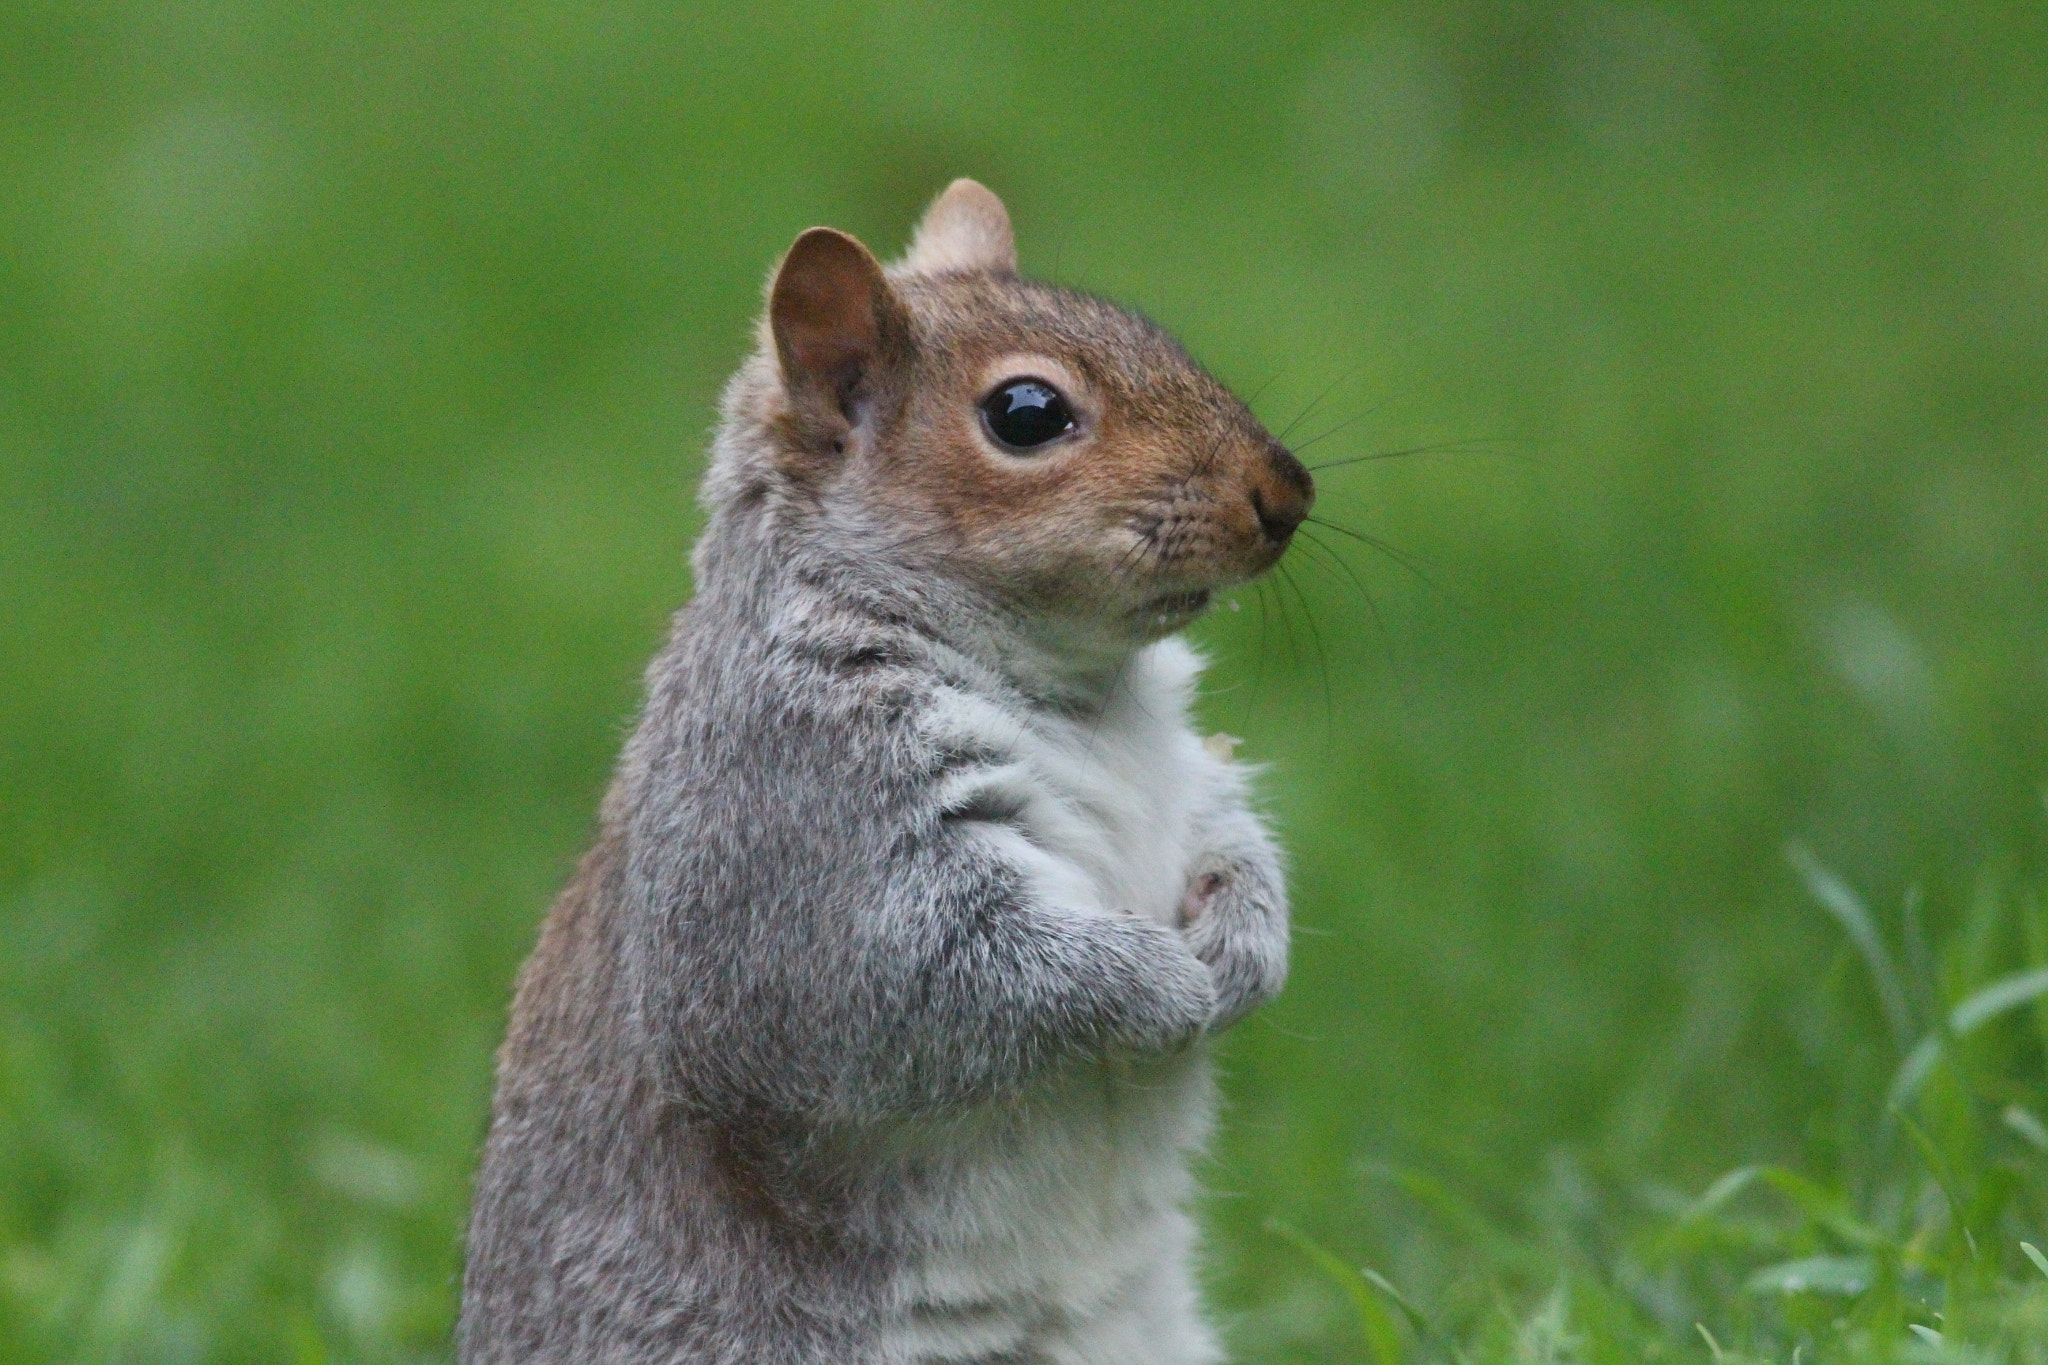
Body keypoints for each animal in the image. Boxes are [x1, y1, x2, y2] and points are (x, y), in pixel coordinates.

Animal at [454, 184, 1310, 1365]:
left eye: (1161, 335)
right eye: (1027, 414)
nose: (1287, 493)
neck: (1081, 700)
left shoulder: (1190, 778)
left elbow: (1236, 841)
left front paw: (1244, 945)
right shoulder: (794, 825)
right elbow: (925, 979)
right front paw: (1165, 984)